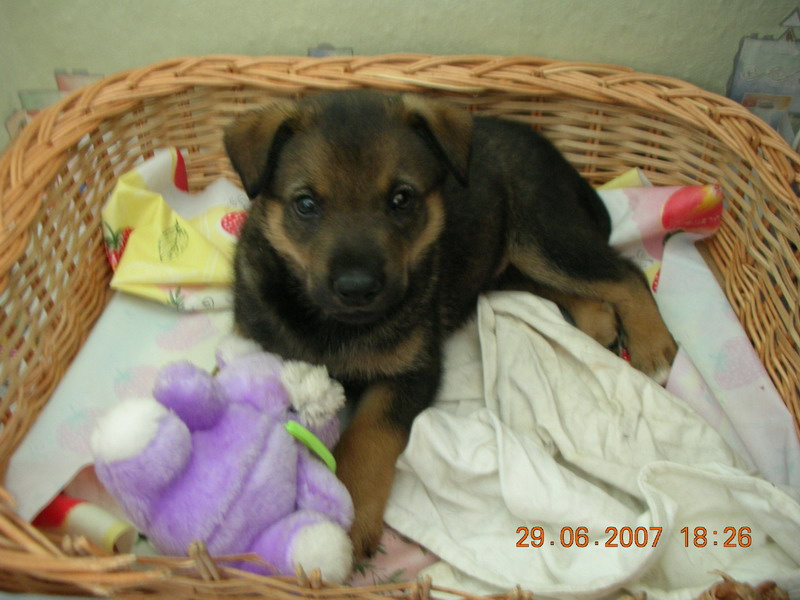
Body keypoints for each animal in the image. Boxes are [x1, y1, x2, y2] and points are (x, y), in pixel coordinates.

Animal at [223, 90, 677, 558]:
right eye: (306, 204)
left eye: (401, 199)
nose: (357, 287)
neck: (337, 325)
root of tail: (552, 153)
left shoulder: (412, 371)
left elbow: (366, 438)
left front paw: (349, 521)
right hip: (510, 260)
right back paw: (597, 321)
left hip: (544, 234)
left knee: (625, 272)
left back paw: (654, 347)